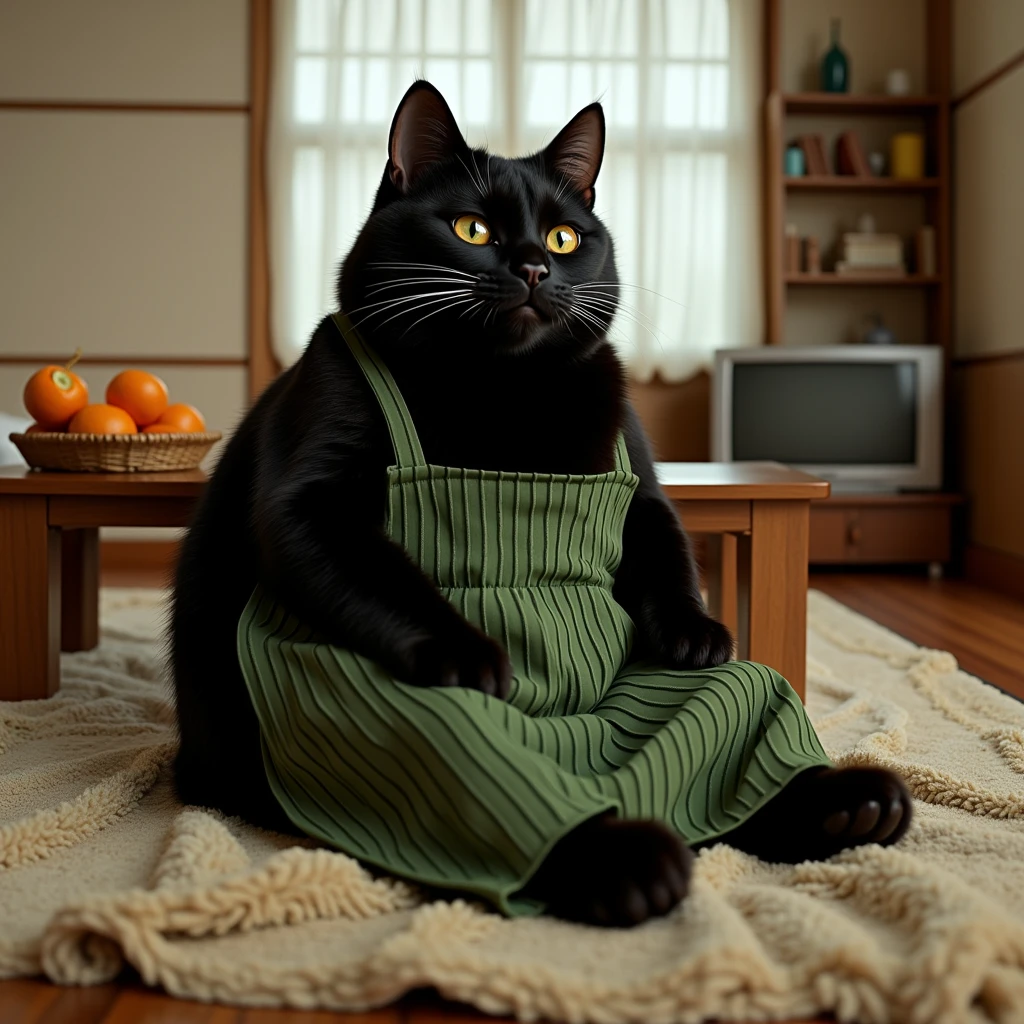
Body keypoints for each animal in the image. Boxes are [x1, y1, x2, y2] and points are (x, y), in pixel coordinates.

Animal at [169, 79, 913, 929]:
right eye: (472, 228)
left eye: (562, 237)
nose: (531, 266)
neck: (506, 388)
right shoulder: (310, 499)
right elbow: (384, 573)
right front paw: (470, 653)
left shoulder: (641, 493)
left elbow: (667, 553)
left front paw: (694, 631)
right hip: (342, 700)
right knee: (474, 762)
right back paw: (631, 862)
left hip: (728, 692)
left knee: (742, 697)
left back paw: (852, 804)